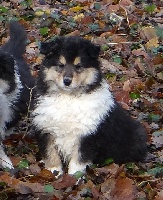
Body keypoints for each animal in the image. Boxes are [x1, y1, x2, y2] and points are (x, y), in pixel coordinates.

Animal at [32, 36, 148, 175]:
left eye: (79, 66)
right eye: (60, 65)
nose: (67, 81)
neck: (69, 97)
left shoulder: (87, 134)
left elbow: (78, 160)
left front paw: (73, 177)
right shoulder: (46, 129)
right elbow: (50, 154)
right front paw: (54, 173)